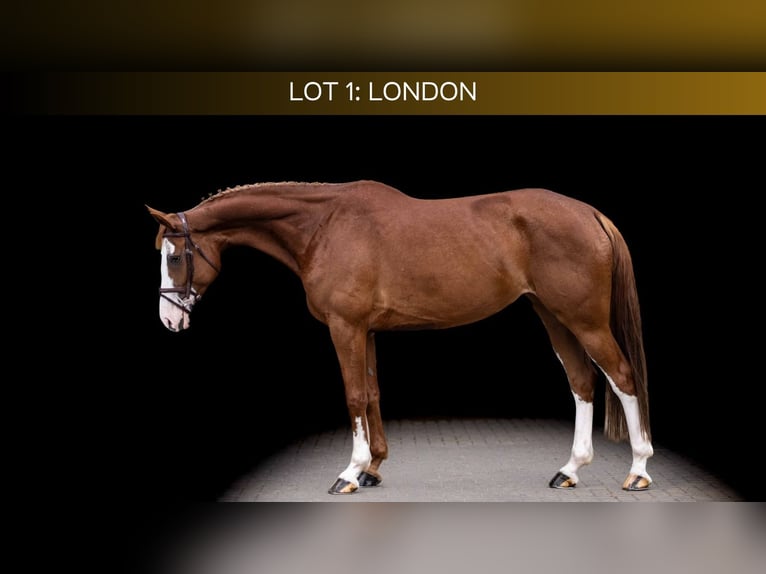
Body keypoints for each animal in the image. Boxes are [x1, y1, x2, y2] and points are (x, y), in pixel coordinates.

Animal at [147, 180, 653, 495]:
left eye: (174, 256)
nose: (169, 320)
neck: (324, 227)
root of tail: (590, 213)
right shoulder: (365, 330)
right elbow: (371, 393)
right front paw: (373, 468)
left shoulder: (345, 327)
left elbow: (353, 395)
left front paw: (350, 473)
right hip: (553, 315)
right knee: (582, 382)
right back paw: (569, 470)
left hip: (584, 319)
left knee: (622, 377)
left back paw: (638, 471)